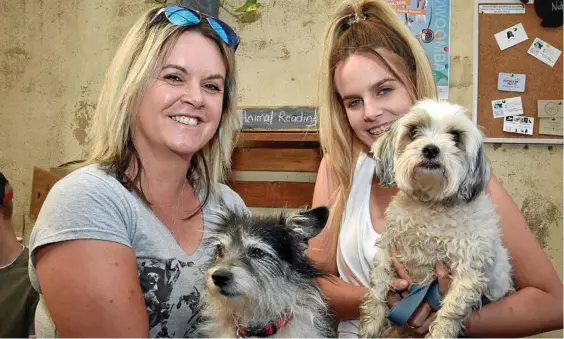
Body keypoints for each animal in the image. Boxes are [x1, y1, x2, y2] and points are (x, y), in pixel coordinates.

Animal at [360, 99, 512, 338]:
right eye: (414, 131)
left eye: (456, 136)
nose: (431, 149)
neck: (430, 205)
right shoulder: (387, 251)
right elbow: (377, 287)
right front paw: (371, 325)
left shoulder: (467, 273)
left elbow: (450, 312)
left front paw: (440, 331)